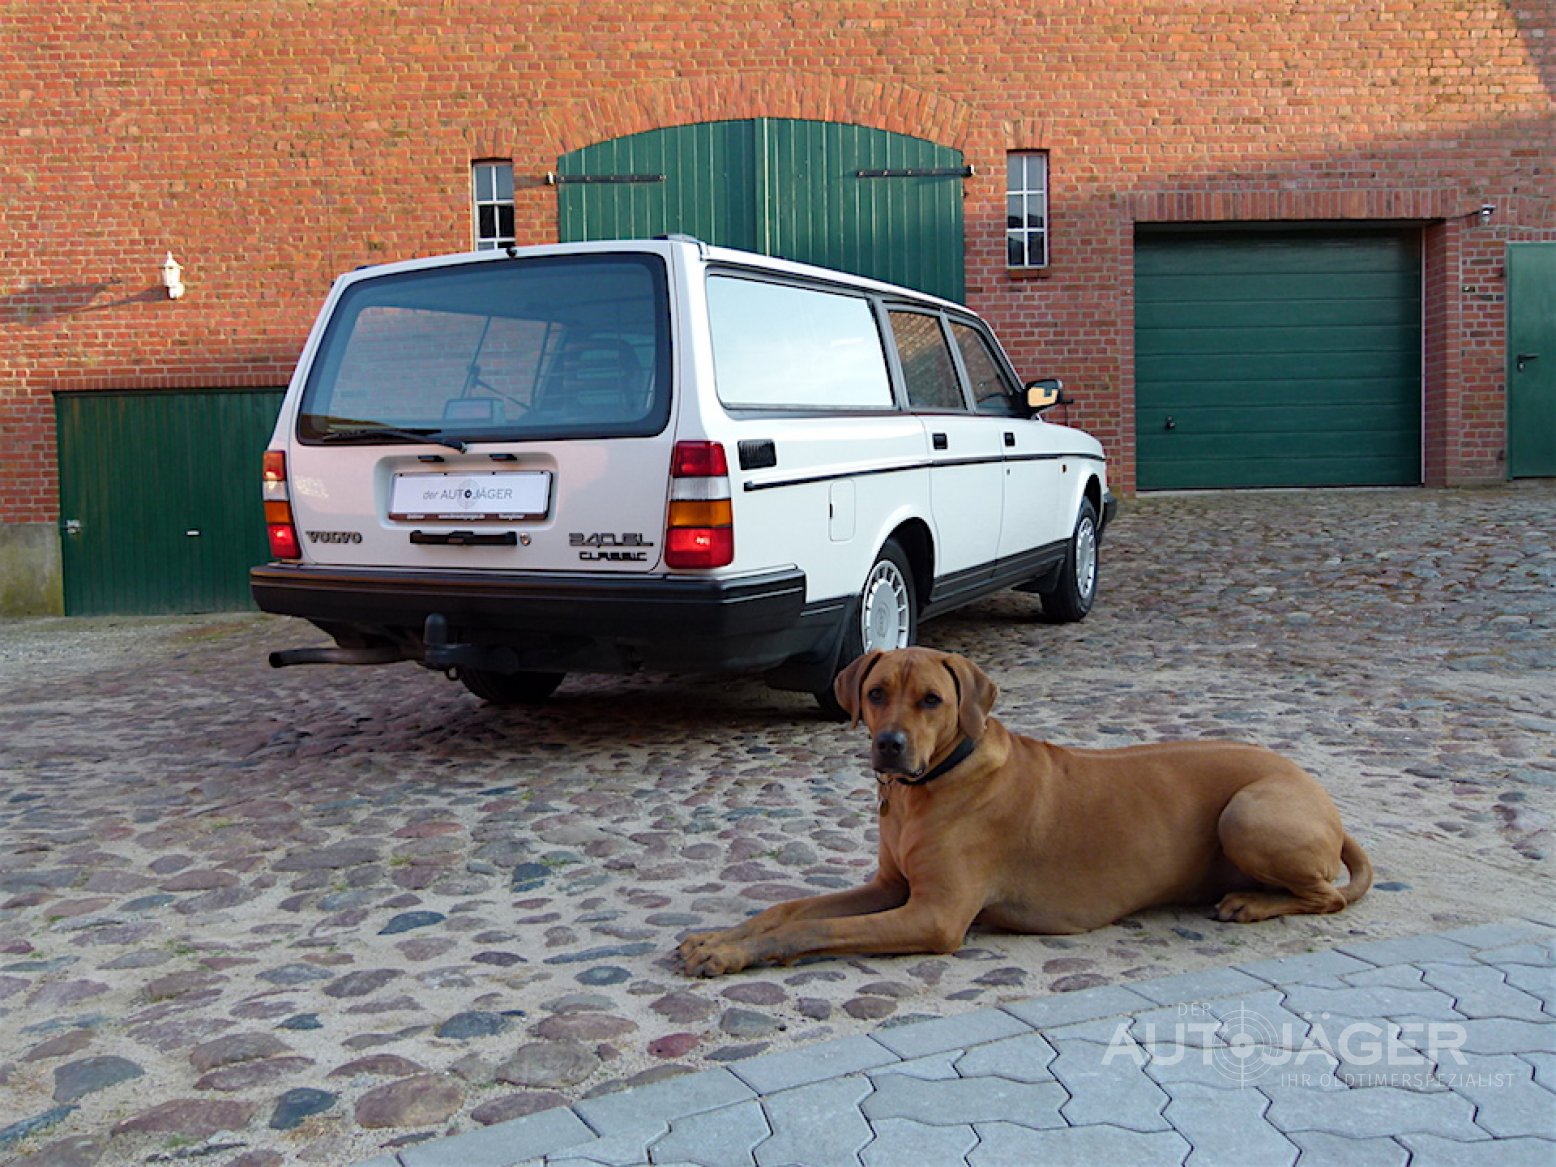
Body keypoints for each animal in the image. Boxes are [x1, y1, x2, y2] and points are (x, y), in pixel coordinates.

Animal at [678, 646, 1371, 977]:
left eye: (931, 700)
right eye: (875, 694)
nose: (890, 745)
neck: (930, 786)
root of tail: (1318, 792)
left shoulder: (933, 916)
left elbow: (814, 929)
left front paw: (734, 955)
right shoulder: (890, 887)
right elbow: (789, 908)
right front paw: (721, 937)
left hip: (1249, 813)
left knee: (1330, 896)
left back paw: (1251, 903)